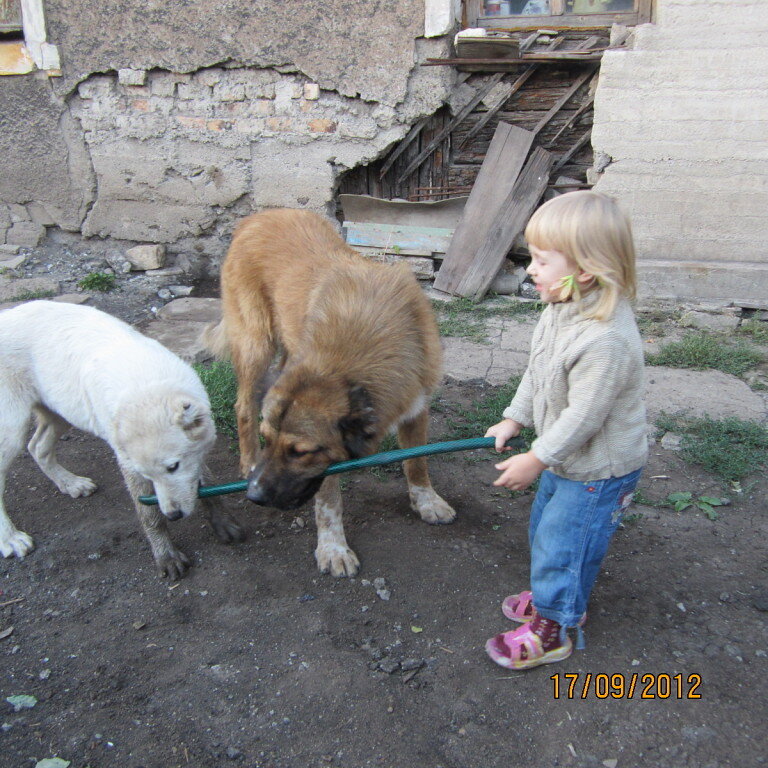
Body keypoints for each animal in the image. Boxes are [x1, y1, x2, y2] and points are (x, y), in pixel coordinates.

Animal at [0, 300, 243, 576]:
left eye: (173, 467)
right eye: (148, 475)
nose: (174, 515)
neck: (147, 387)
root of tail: (6, 313)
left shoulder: (195, 454)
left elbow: (207, 482)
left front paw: (222, 521)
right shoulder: (129, 466)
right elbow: (150, 516)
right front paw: (166, 555)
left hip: (62, 411)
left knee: (37, 447)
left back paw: (71, 483)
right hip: (13, 428)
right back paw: (10, 538)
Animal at [204, 208, 456, 576]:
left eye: (299, 452)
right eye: (268, 440)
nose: (254, 497)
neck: (364, 338)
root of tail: (256, 217)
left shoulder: (415, 406)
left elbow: (417, 462)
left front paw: (427, 501)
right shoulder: (328, 462)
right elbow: (327, 503)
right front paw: (333, 548)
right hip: (256, 344)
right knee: (244, 406)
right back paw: (248, 459)